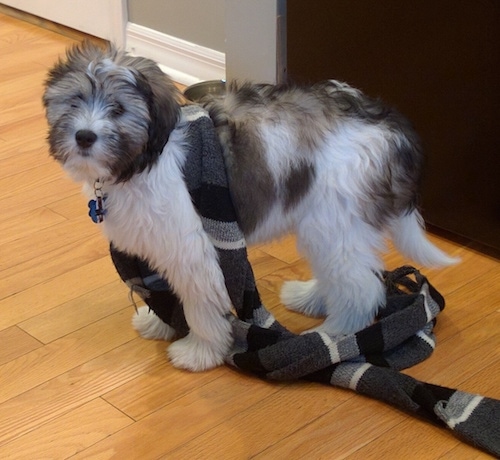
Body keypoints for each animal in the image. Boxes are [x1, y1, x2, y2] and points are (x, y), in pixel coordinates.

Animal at [110, 105, 500, 456]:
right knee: (352, 276)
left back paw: (329, 338)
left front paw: (198, 352)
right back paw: (310, 300)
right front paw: (158, 325)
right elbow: (167, 296)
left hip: (333, 223)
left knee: (361, 289)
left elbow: (199, 307)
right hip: (331, 224)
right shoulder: (159, 249)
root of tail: (391, 133)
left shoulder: (193, 251)